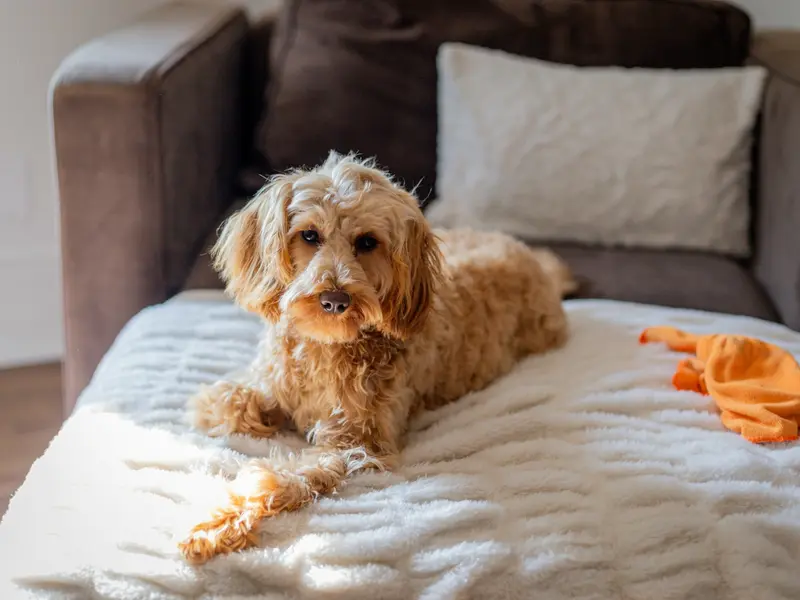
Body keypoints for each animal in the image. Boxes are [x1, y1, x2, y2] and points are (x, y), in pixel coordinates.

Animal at [178, 150, 572, 564]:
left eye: (367, 242)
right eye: (309, 235)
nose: (335, 300)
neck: (328, 346)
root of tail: (533, 259)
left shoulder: (355, 445)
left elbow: (281, 479)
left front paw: (215, 523)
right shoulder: (263, 386)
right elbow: (225, 402)